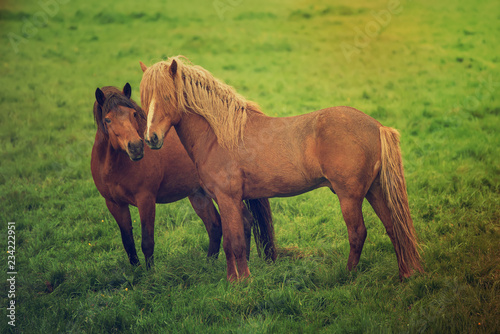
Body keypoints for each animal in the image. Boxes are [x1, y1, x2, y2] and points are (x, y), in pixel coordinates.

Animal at [91, 84, 278, 268]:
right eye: (107, 120)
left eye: (134, 114)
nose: (136, 147)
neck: (115, 166)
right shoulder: (115, 204)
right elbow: (128, 242)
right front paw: (136, 272)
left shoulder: (146, 200)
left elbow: (147, 242)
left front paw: (150, 274)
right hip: (200, 195)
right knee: (215, 226)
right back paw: (209, 265)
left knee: (244, 221)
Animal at [139, 57, 424, 282]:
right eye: (144, 100)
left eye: (167, 97)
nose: (151, 138)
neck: (219, 135)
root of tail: (377, 126)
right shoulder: (231, 200)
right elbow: (233, 240)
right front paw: (234, 279)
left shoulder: (227, 198)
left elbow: (235, 242)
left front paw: (242, 283)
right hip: (374, 190)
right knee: (393, 227)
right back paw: (405, 275)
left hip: (350, 197)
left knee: (358, 233)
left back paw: (348, 275)